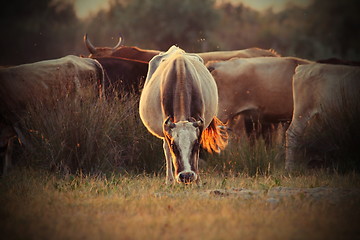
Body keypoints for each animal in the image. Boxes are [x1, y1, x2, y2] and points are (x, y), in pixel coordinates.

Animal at [139, 45, 226, 184]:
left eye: (195, 145)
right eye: (174, 145)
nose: (186, 175)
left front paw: (198, 181)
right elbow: (168, 150)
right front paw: (171, 180)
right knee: (165, 150)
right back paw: (169, 180)